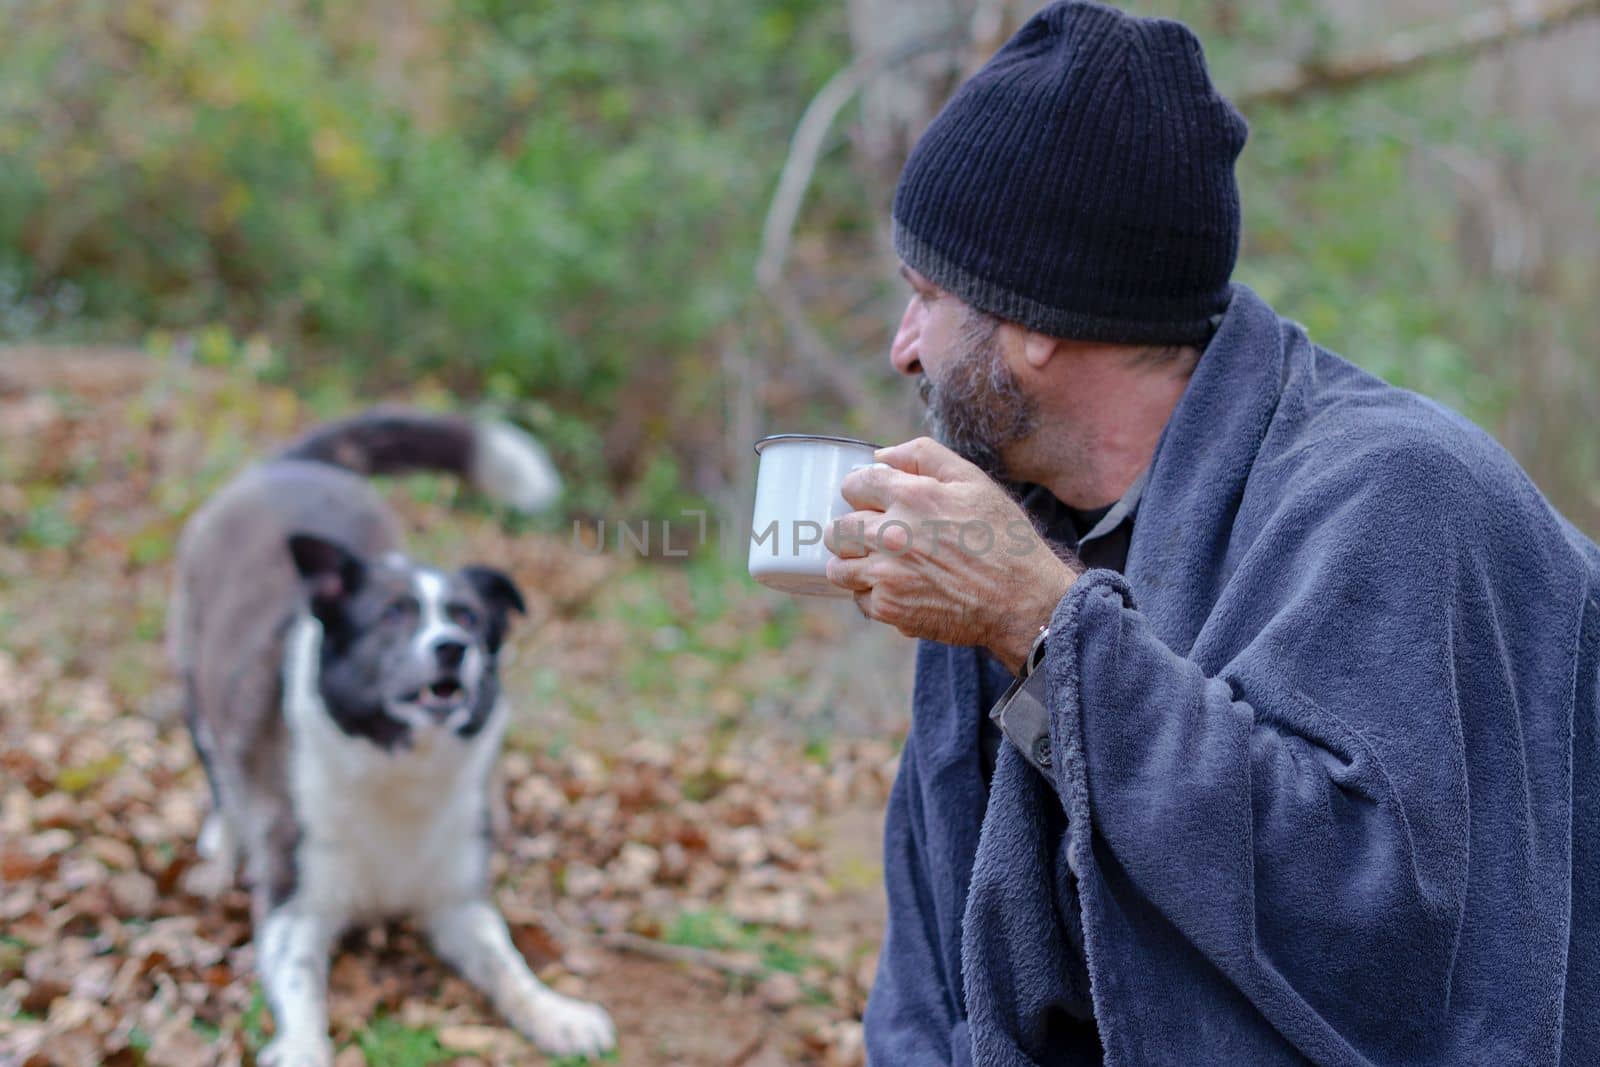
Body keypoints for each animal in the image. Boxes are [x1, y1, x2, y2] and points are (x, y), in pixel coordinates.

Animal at [168, 412, 614, 1067]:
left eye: (468, 617)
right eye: (393, 615)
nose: (454, 647)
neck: (400, 767)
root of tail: (289, 467)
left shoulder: (457, 901)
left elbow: (506, 961)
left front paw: (556, 1013)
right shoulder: (294, 902)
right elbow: (300, 979)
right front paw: (302, 1047)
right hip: (193, 685)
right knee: (221, 780)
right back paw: (219, 855)